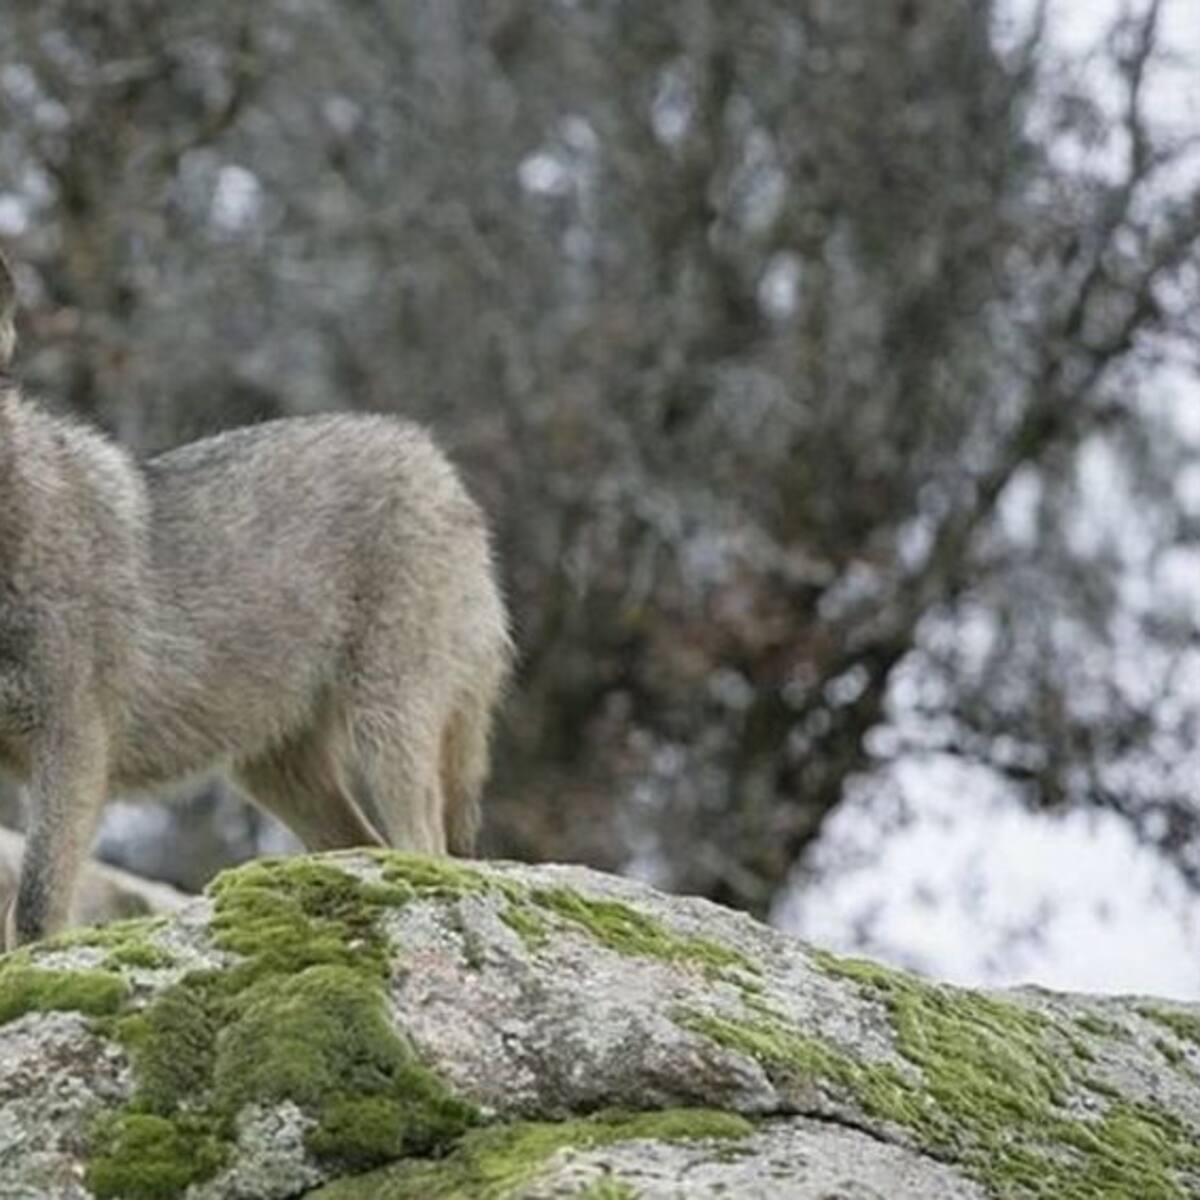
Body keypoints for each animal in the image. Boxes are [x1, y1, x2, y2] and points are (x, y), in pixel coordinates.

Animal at [0, 251, 512, 947]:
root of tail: (432, 456)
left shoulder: (71, 747)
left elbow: (34, 906)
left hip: (387, 729)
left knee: (424, 848)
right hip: (274, 772)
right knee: (366, 844)